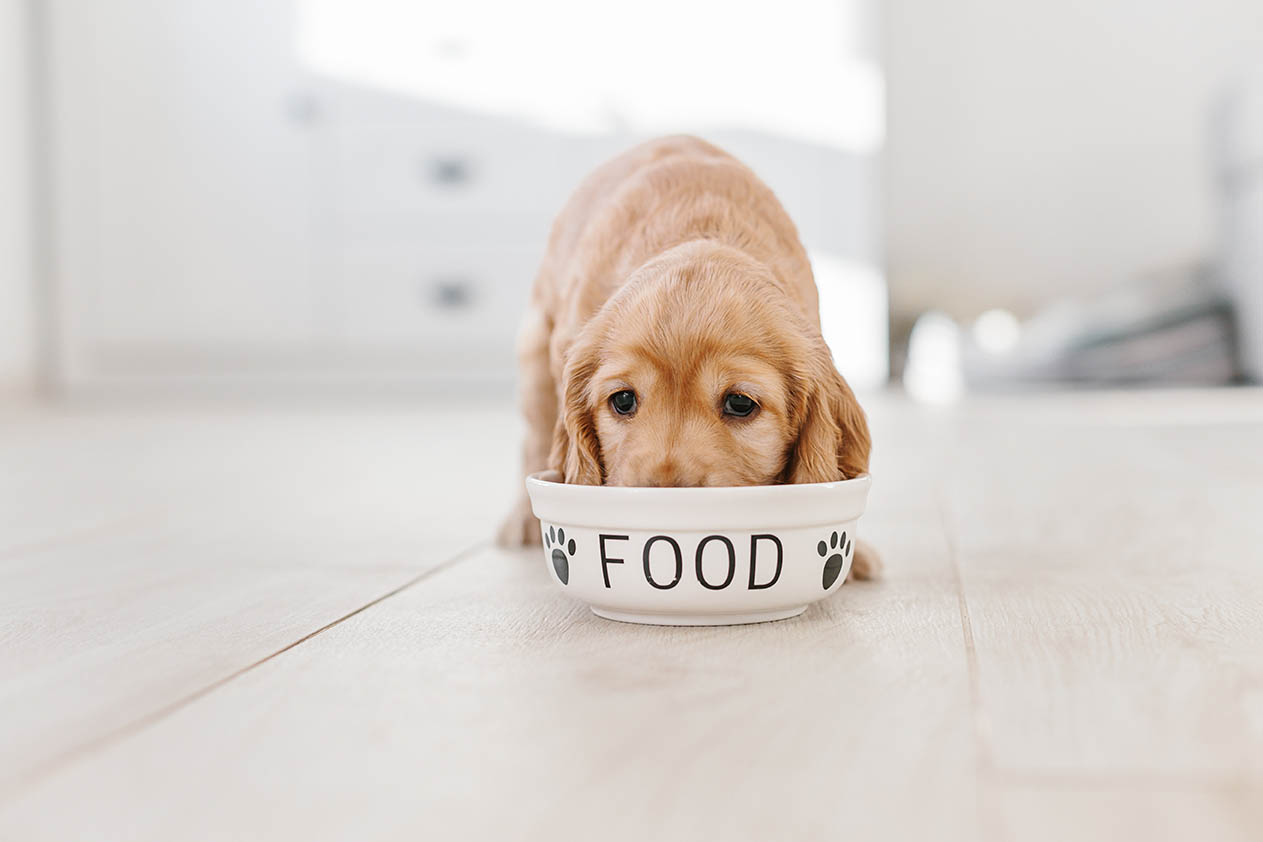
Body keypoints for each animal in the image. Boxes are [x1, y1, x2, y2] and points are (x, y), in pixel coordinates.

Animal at [495, 136, 879, 580]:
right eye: (622, 400)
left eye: (740, 403)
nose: (666, 495)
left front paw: (851, 555)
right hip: (535, 355)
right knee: (535, 439)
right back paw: (522, 521)